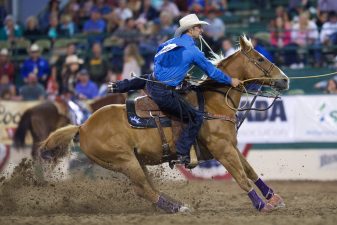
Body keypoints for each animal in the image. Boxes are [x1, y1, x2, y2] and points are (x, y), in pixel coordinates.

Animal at [38, 36, 286, 213]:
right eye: (260, 59)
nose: (284, 79)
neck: (213, 101)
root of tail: (83, 126)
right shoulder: (221, 149)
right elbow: (241, 178)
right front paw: (262, 205)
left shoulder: (230, 146)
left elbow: (250, 171)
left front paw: (275, 198)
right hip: (124, 161)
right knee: (143, 190)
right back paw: (177, 208)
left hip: (135, 161)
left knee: (148, 188)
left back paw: (178, 205)